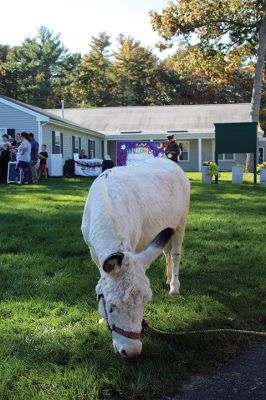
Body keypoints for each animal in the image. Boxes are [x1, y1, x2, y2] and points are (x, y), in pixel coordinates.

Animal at [81, 158, 189, 358]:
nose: (131, 352)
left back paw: (174, 285)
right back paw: (167, 277)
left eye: (145, 303)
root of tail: (169, 160)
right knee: (166, 252)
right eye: (112, 306)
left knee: (176, 254)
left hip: (181, 222)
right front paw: (102, 319)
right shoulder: (93, 252)